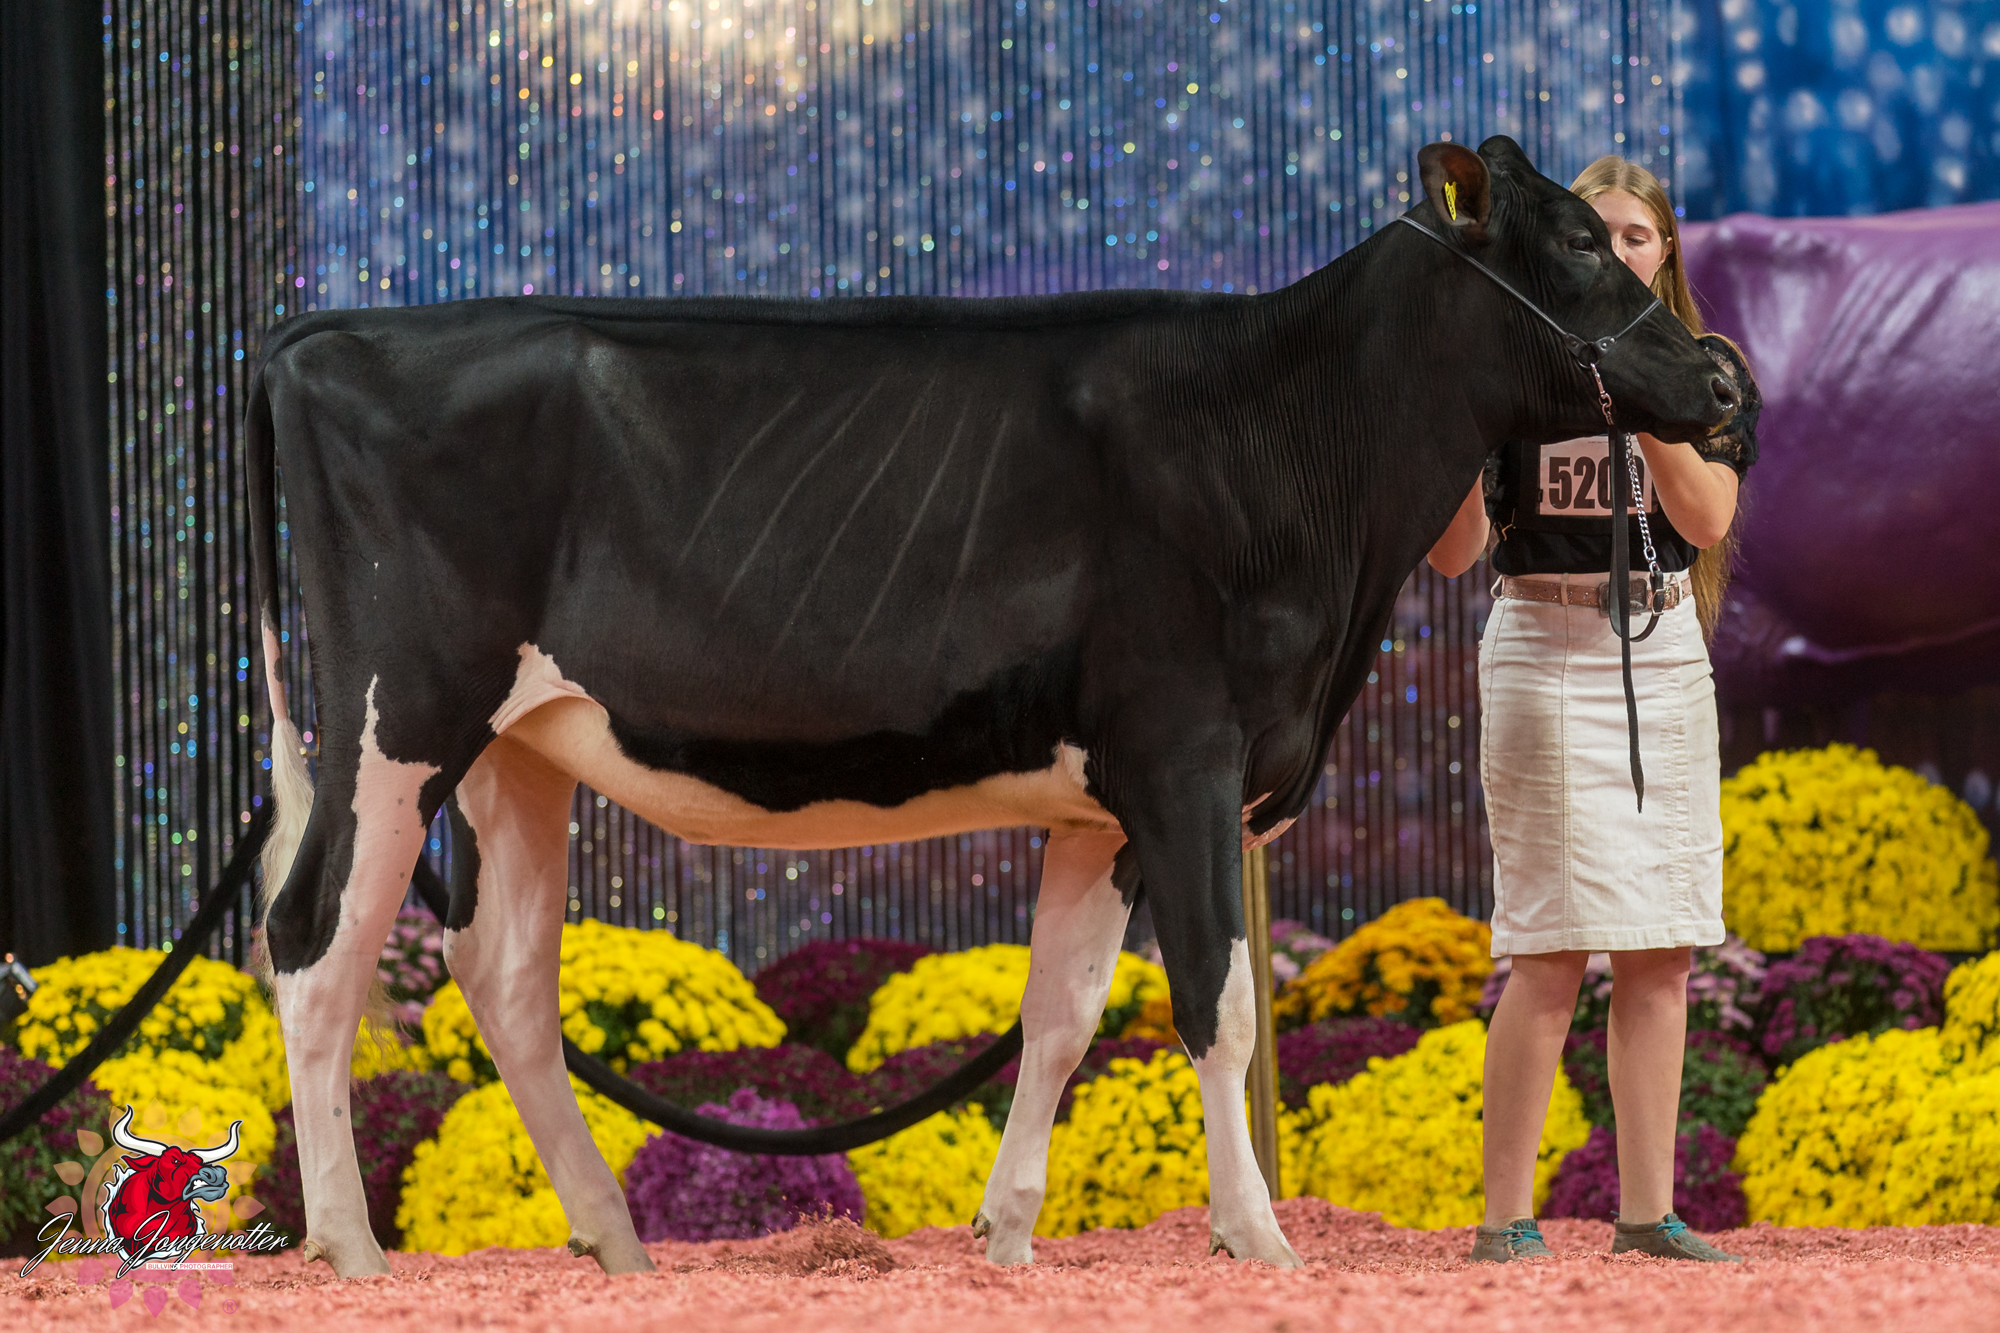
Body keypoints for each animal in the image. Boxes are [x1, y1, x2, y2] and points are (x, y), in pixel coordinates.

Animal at [249, 136, 1735, 1277]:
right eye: (1579, 244)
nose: (1724, 379)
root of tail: (323, 332)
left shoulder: (1104, 804)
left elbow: (1062, 1011)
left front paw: (1007, 1236)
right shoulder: (1186, 755)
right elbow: (1218, 1001)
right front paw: (1257, 1236)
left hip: (522, 746)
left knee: (502, 974)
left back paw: (614, 1244)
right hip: (397, 717)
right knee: (314, 945)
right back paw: (352, 1248)